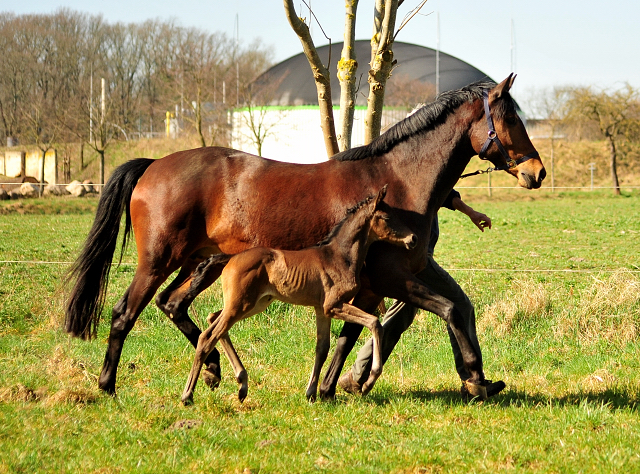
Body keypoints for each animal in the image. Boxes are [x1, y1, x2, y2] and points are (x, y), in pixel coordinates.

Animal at [182, 185, 418, 404]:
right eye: (387, 217)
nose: (413, 238)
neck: (339, 256)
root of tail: (230, 258)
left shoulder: (321, 310)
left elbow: (322, 348)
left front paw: (311, 393)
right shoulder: (333, 305)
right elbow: (374, 323)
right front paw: (369, 382)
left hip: (255, 303)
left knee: (213, 319)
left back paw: (242, 384)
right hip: (241, 304)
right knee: (208, 336)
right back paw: (188, 395)